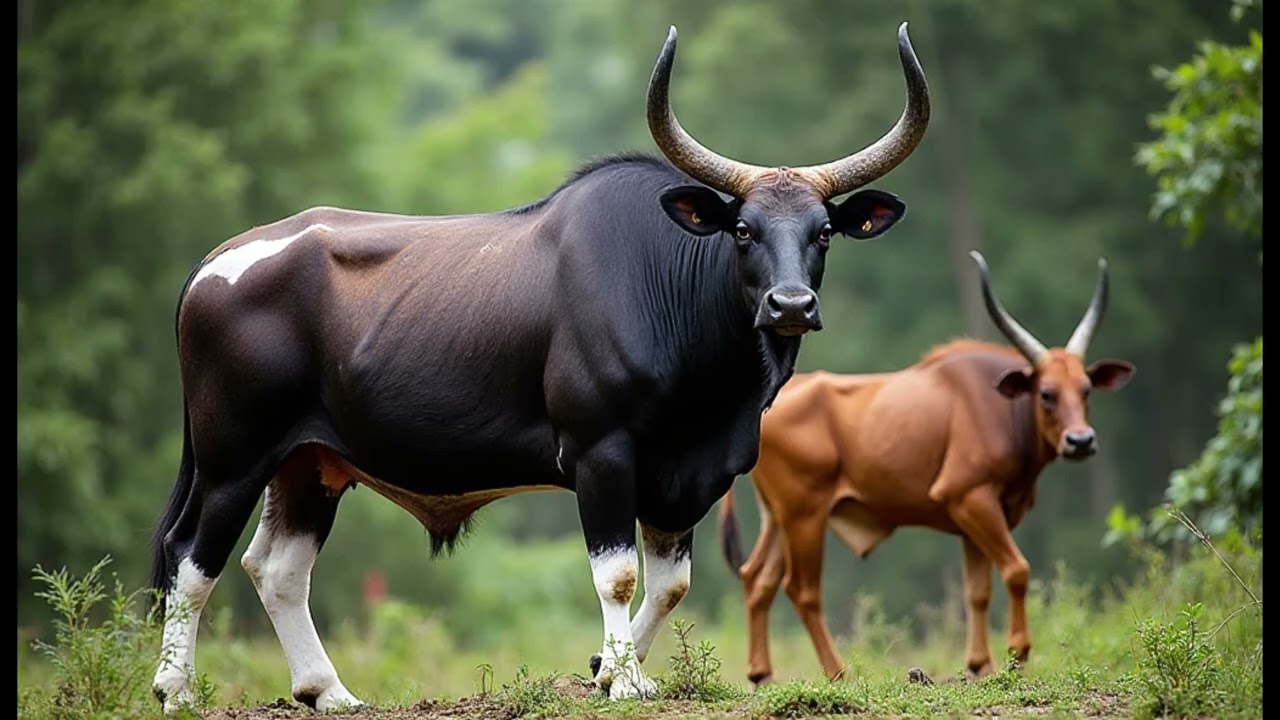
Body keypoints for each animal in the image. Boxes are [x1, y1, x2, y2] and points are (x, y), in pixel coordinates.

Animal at [147, 22, 931, 713]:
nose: (790, 303)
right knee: (191, 558)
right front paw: (624, 680)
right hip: (232, 459)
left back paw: (327, 691)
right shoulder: (601, 455)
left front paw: (608, 669)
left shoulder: (688, 479)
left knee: (276, 568)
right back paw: (175, 691)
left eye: (823, 232)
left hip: (309, 464)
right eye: (743, 229)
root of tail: (215, 265)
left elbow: (669, 585)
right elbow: (618, 576)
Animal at [717, 250, 1135, 687]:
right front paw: (1017, 653)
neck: (1000, 407)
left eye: (1085, 390)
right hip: (805, 515)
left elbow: (977, 591)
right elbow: (1016, 569)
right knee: (802, 590)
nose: (1081, 441)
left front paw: (980, 664)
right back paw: (838, 672)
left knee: (757, 578)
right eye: (1046, 393)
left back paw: (761, 674)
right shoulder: (971, 498)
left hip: (779, 517)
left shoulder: (974, 520)